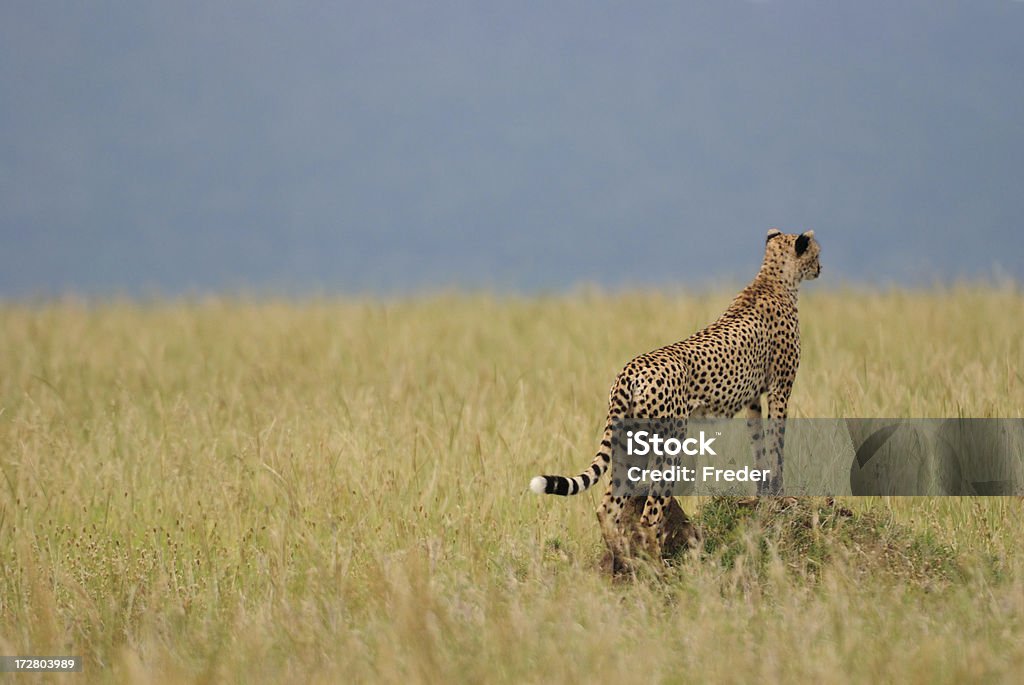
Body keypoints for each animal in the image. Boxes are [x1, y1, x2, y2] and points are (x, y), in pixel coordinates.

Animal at [532, 229, 819, 561]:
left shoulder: (752, 402)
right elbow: (776, 445)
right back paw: (656, 562)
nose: (820, 268)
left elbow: (759, 445)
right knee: (650, 512)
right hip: (670, 441)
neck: (772, 278)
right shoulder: (779, 391)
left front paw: (763, 495)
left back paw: (622, 556)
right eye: (817, 253)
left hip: (630, 440)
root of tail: (630, 368)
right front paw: (780, 494)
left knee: (608, 506)